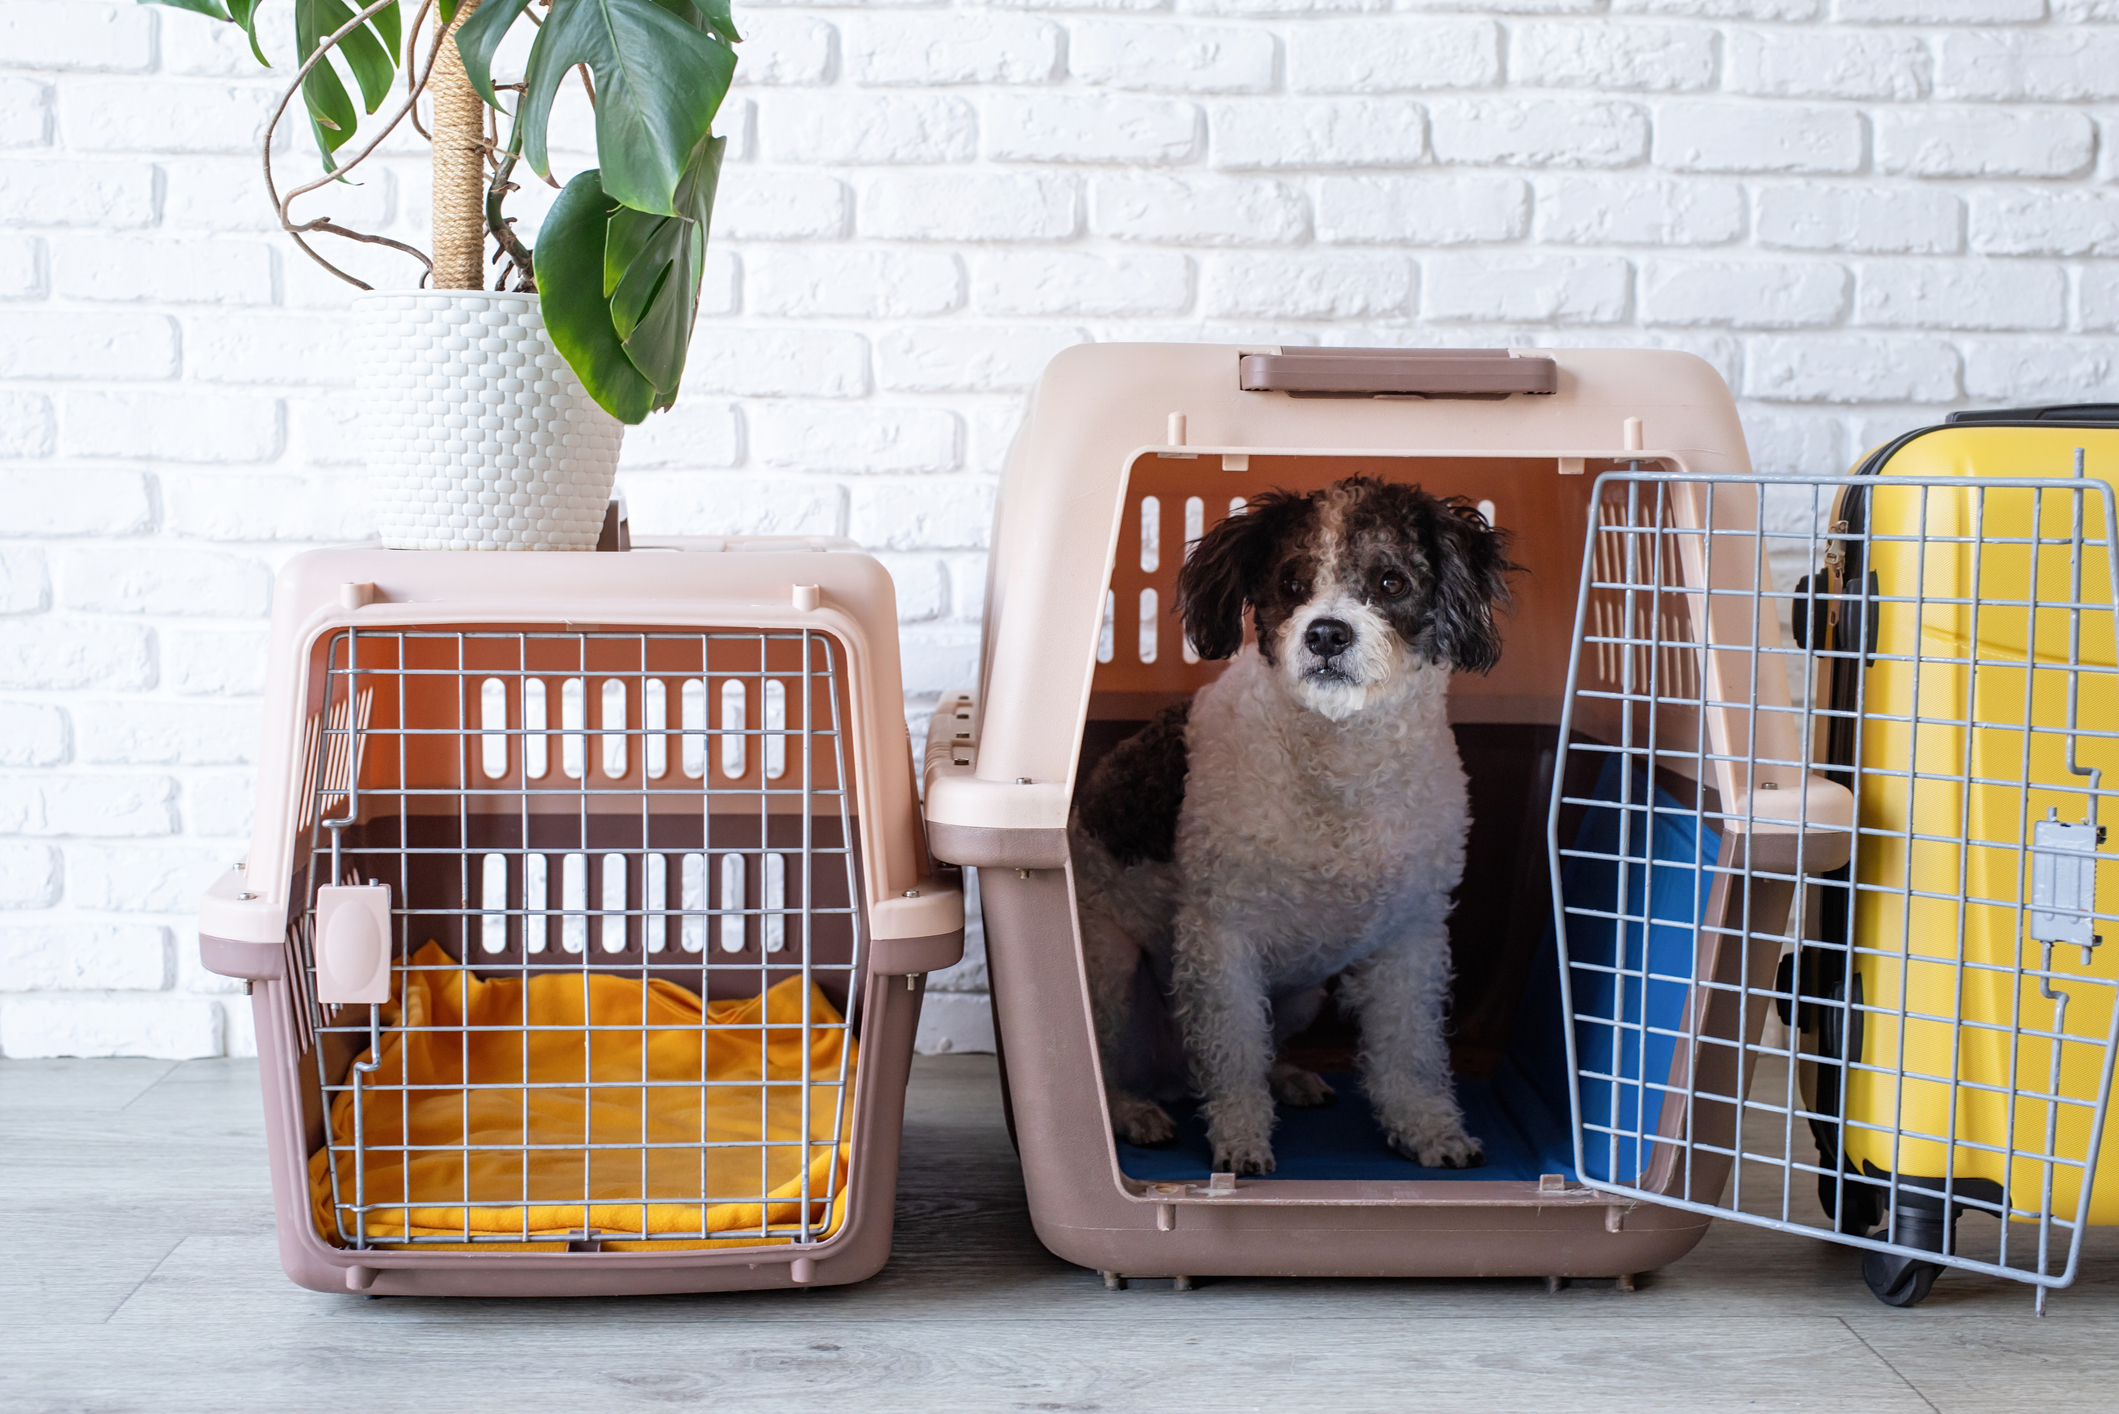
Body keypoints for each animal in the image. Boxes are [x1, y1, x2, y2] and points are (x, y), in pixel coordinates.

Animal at [1067, 474, 1517, 1170]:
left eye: (1391, 581)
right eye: (1291, 582)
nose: (1327, 633)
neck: (1340, 761)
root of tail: (1170, 1073)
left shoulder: (1411, 936)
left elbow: (1409, 1050)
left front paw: (1428, 1128)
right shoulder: (1220, 939)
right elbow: (1233, 1053)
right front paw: (1240, 1141)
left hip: (1304, 994)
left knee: (1267, 1043)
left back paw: (1287, 1077)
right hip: (1110, 966)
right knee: (1110, 1067)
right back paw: (1130, 1111)